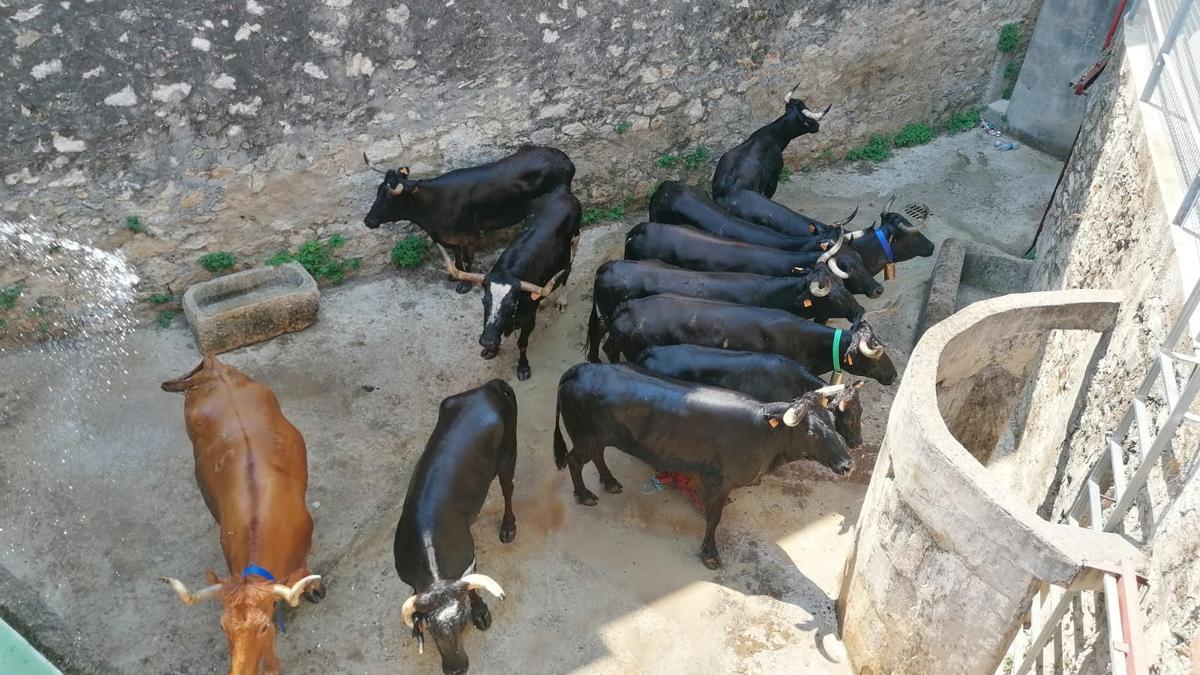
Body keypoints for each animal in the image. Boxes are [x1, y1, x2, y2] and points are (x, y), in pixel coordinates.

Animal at [162, 355, 328, 667]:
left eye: (264, 626)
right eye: (223, 627)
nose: (240, 670)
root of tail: (214, 367)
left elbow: (304, 571)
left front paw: (315, 588)